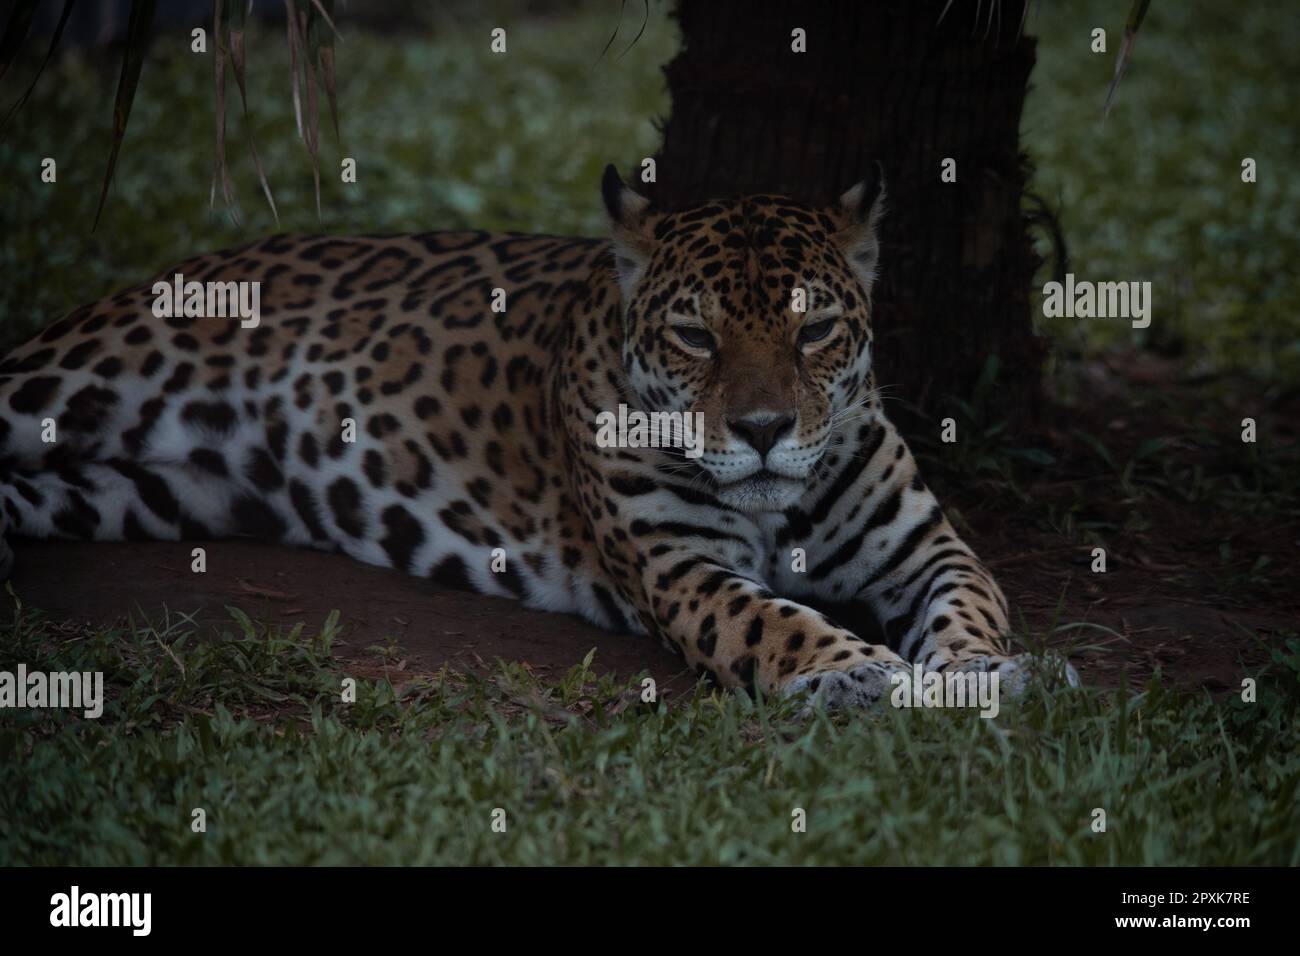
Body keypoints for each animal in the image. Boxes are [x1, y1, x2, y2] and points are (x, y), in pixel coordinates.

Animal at [0, 163, 1078, 709]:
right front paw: (851, 669)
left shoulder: (927, 549)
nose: (765, 429)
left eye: (815, 330)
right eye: (696, 336)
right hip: (71, 376)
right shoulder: (682, 570)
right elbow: (771, 619)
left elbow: (971, 606)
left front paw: (986, 671)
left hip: (135, 491)